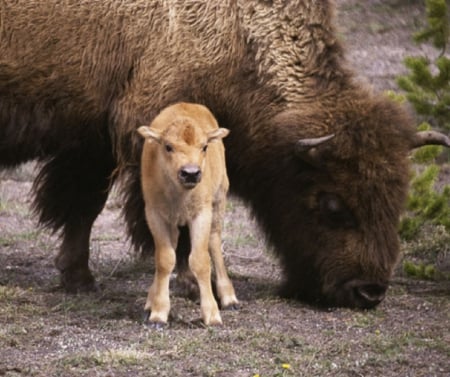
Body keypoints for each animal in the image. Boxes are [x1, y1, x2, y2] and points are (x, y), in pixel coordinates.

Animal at [137, 101, 237, 324]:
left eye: (204, 147)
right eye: (168, 146)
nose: (191, 173)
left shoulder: (202, 214)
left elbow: (200, 260)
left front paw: (212, 315)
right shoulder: (155, 214)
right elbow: (165, 259)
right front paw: (158, 312)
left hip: (219, 200)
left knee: (214, 242)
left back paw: (229, 298)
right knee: (173, 244)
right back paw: (150, 299)